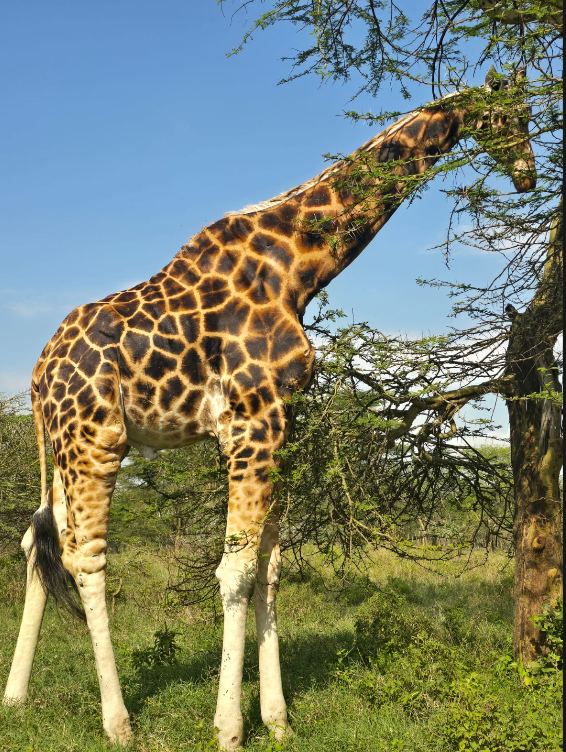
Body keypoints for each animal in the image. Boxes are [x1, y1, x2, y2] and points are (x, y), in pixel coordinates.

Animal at [4, 69, 535, 750]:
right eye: (513, 113)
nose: (528, 174)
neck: (301, 267)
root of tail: (37, 375)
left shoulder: (283, 423)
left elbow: (270, 567)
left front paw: (277, 718)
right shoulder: (252, 422)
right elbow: (235, 571)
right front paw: (229, 726)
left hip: (65, 448)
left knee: (36, 540)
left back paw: (16, 696)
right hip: (98, 439)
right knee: (84, 556)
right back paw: (117, 721)